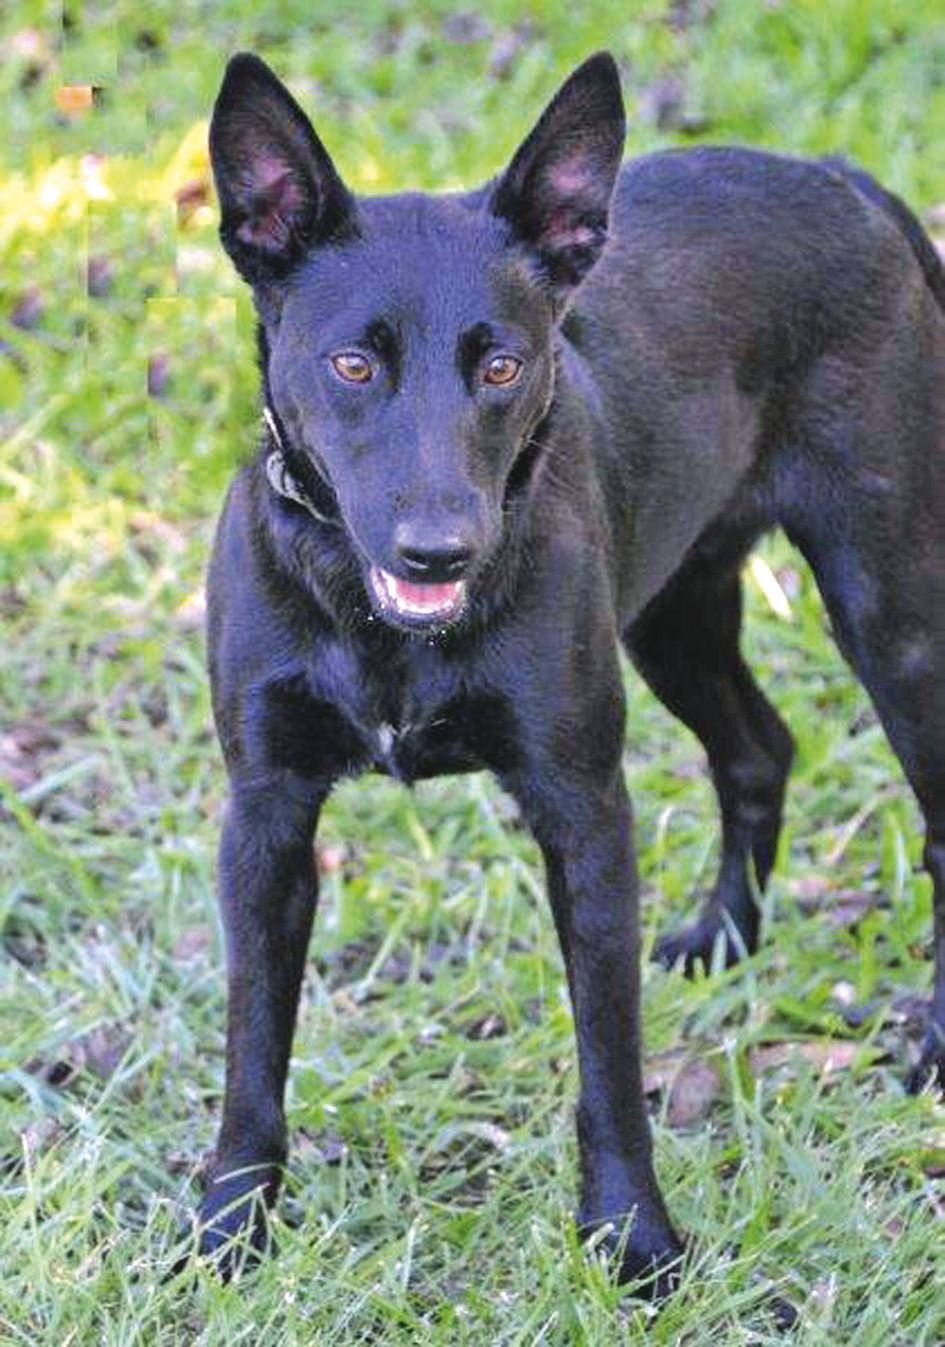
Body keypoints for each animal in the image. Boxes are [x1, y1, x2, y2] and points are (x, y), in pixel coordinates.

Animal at [199, 55, 945, 1293]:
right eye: (352, 363)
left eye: (503, 363)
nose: (440, 551)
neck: (381, 623)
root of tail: (844, 180)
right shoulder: (265, 818)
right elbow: (253, 1043)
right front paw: (227, 1227)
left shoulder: (583, 811)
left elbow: (609, 1063)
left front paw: (632, 1238)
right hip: (677, 610)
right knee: (759, 747)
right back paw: (724, 938)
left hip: (890, 612)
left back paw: (929, 1032)